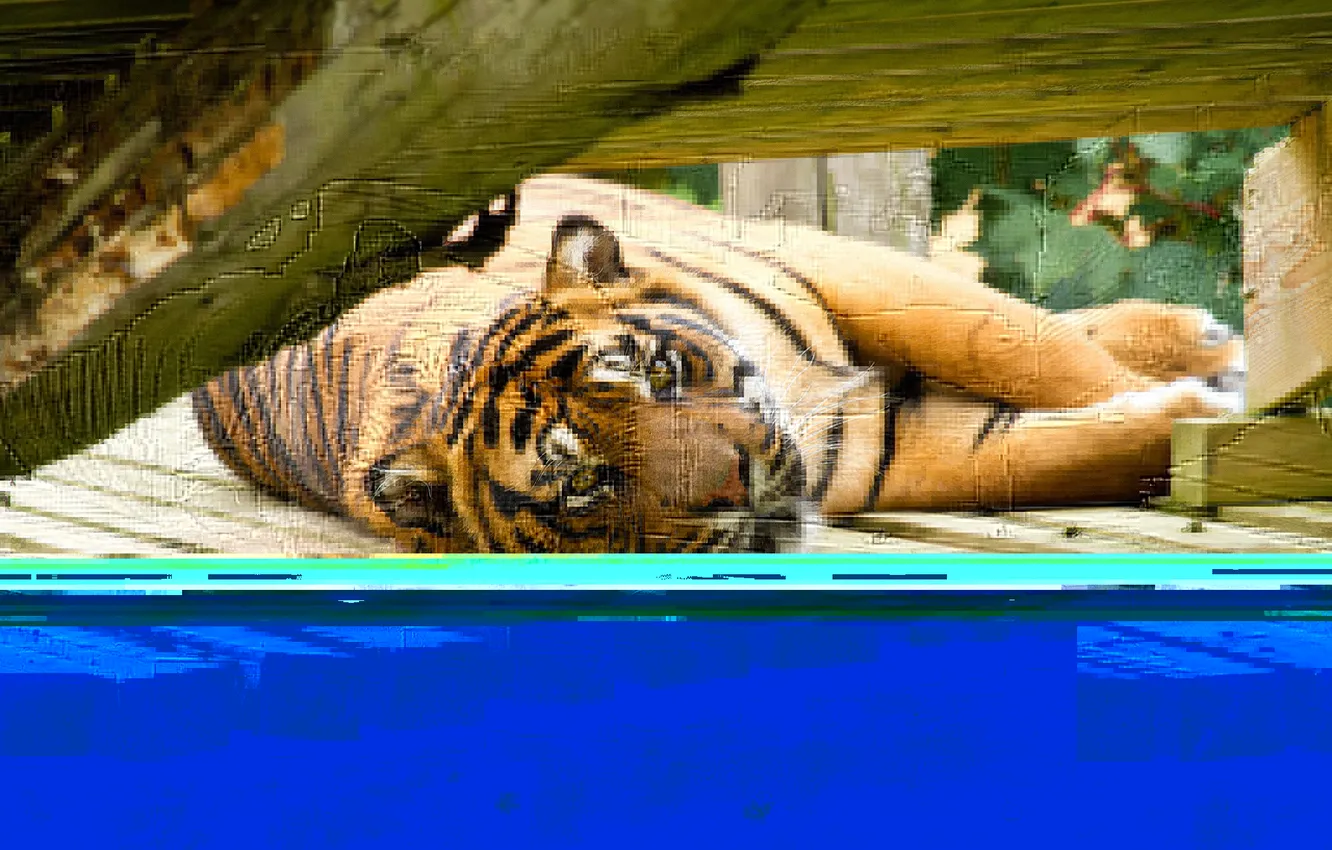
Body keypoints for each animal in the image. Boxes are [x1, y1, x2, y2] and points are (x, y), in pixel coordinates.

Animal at [192, 174, 1246, 554]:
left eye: (656, 373)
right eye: (584, 486)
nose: (738, 480)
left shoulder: (851, 270)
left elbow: (1028, 350)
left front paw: (1226, 410)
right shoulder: (882, 451)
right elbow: (1050, 448)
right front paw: (1191, 421)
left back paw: (1203, 338)